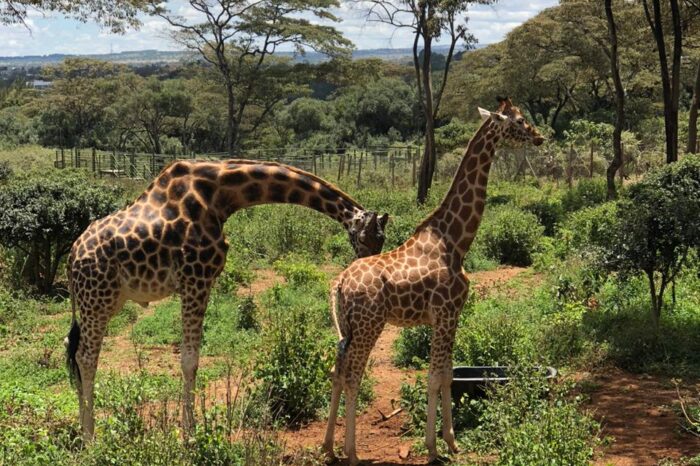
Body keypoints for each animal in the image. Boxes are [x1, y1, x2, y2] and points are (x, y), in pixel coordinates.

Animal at [65, 158, 388, 438]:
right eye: (363, 237)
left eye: (382, 240)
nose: (366, 266)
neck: (222, 196)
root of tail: (71, 258)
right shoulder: (196, 279)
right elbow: (190, 359)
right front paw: (190, 434)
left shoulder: (199, 282)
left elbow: (191, 358)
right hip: (98, 299)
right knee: (86, 357)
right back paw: (90, 436)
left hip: (103, 301)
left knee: (74, 350)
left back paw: (82, 430)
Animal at [322, 97, 548, 462]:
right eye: (518, 120)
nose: (540, 137)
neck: (455, 241)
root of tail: (338, 284)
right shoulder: (445, 312)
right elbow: (434, 377)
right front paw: (432, 447)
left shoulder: (449, 315)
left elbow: (447, 375)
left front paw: (452, 442)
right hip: (370, 324)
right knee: (354, 375)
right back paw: (352, 453)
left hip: (347, 327)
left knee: (337, 371)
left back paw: (328, 447)